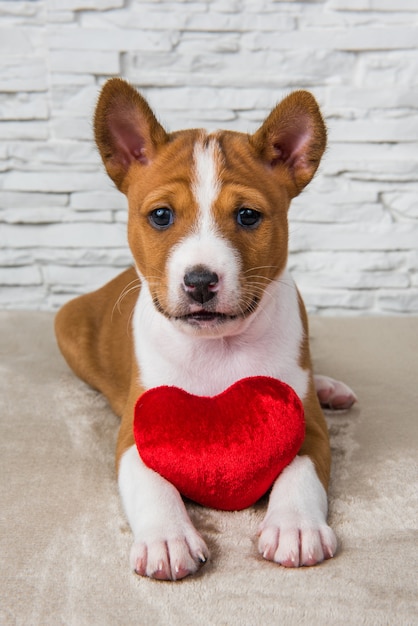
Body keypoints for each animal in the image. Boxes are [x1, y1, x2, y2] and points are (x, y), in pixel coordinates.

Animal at [54, 78, 356, 580]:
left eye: (248, 216)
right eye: (161, 216)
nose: (199, 281)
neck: (217, 348)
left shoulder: (306, 424)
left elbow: (299, 473)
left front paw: (295, 526)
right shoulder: (138, 432)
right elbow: (153, 484)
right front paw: (167, 538)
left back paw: (330, 386)